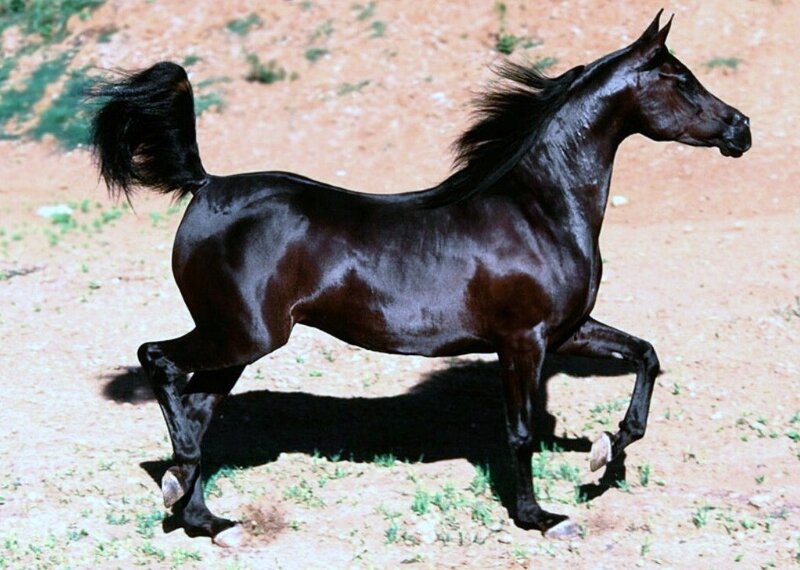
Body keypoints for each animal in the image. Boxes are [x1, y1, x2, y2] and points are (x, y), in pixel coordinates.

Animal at [90, 11, 750, 546]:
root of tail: (206, 186)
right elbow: (520, 433)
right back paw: (179, 483)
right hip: (241, 334)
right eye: (681, 79)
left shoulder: (567, 330)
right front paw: (541, 517)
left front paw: (604, 454)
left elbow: (645, 355)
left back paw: (206, 518)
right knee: (159, 362)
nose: (741, 128)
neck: (538, 208)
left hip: (238, 344)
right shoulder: (523, 341)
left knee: (198, 407)